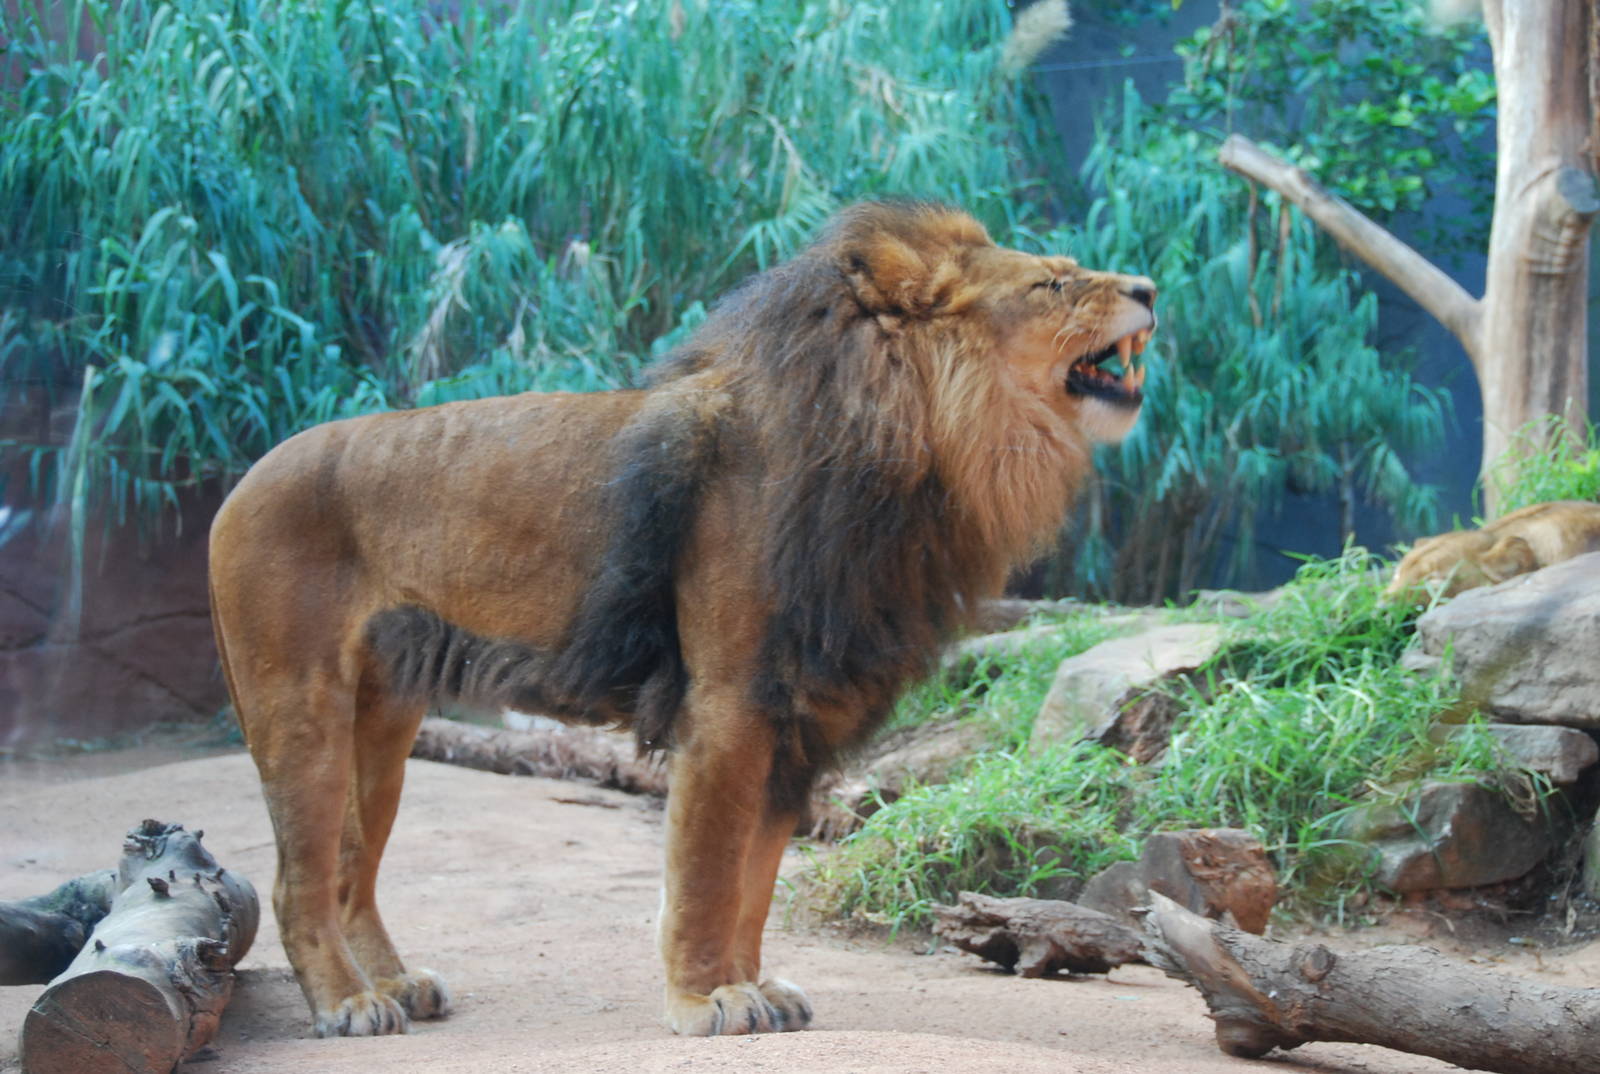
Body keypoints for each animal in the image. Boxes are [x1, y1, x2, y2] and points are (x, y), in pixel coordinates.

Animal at [208, 201, 1156, 1038]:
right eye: (1052, 283)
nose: (1148, 286)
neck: (926, 451)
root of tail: (239, 484)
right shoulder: (730, 704)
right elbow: (706, 873)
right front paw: (707, 1002)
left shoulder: (800, 715)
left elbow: (755, 880)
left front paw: (753, 986)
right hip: (299, 707)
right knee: (296, 882)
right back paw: (348, 1006)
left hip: (382, 721)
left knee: (348, 870)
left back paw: (395, 985)